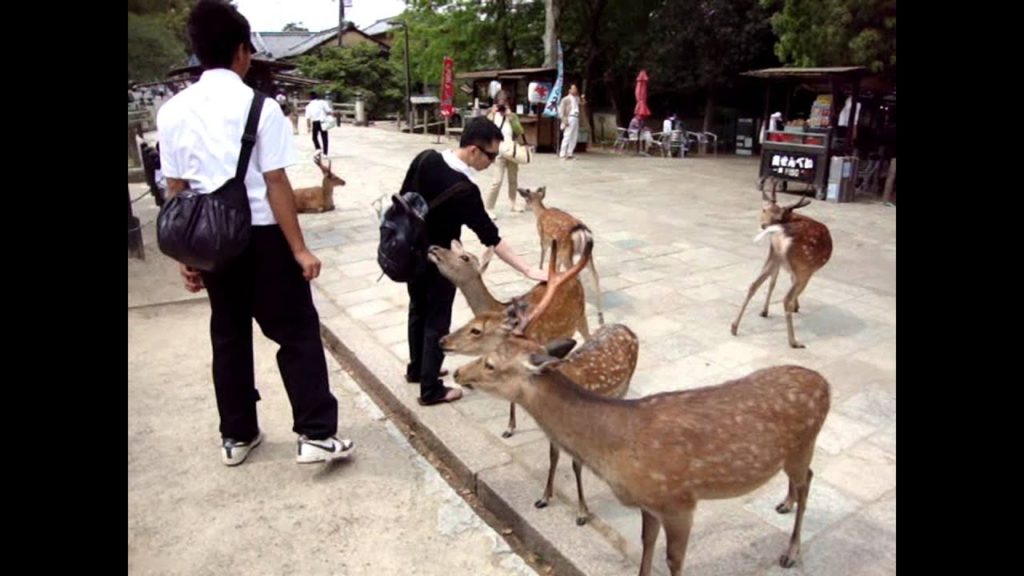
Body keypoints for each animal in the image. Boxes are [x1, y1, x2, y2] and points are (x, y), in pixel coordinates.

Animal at [429, 233, 594, 438]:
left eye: (464, 257)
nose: (433, 248)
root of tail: (573, 277)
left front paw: (510, 428)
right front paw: (509, 427)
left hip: (581, 315)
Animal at [453, 286, 831, 576]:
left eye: (491, 363)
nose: (457, 373)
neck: (616, 448)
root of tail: (825, 384)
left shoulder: (679, 501)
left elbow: (673, 560)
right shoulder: (649, 503)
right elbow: (646, 544)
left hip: (805, 443)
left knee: (808, 481)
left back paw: (790, 552)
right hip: (792, 452)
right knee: (801, 480)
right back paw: (783, 503)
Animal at [517, 187, 605, 324]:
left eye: (526, 199)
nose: (524, 208)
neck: (540, 213)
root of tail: (582, 232)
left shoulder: (544, 238)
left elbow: (543, 254)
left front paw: (541, 271)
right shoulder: (557, 249)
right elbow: (556, 265)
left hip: (566, 251)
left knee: (577, 276)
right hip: (586, 253)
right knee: (595, 276)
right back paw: (600, 317)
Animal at [731, 187, 833, 348]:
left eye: (777, 215)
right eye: (764, 209)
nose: (764, 225)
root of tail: (782, 232)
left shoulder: (777, 259)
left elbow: (773, 282)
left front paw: (765, 311)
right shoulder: (798, 269)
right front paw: (796, 306)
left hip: (775, 256)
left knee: (754, 285)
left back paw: (734, 327)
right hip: (804, 268)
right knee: (786, 298)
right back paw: (794, 341)